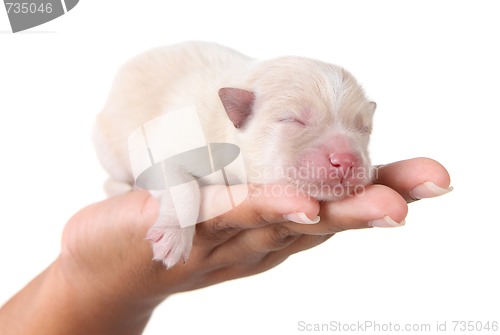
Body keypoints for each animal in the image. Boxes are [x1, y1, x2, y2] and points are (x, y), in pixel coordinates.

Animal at [93, 40, 376, 270]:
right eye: (294, 120)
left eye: (364, 128)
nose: (347, 160)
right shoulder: (161, 147)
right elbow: (185, 187)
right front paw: (174, 235)